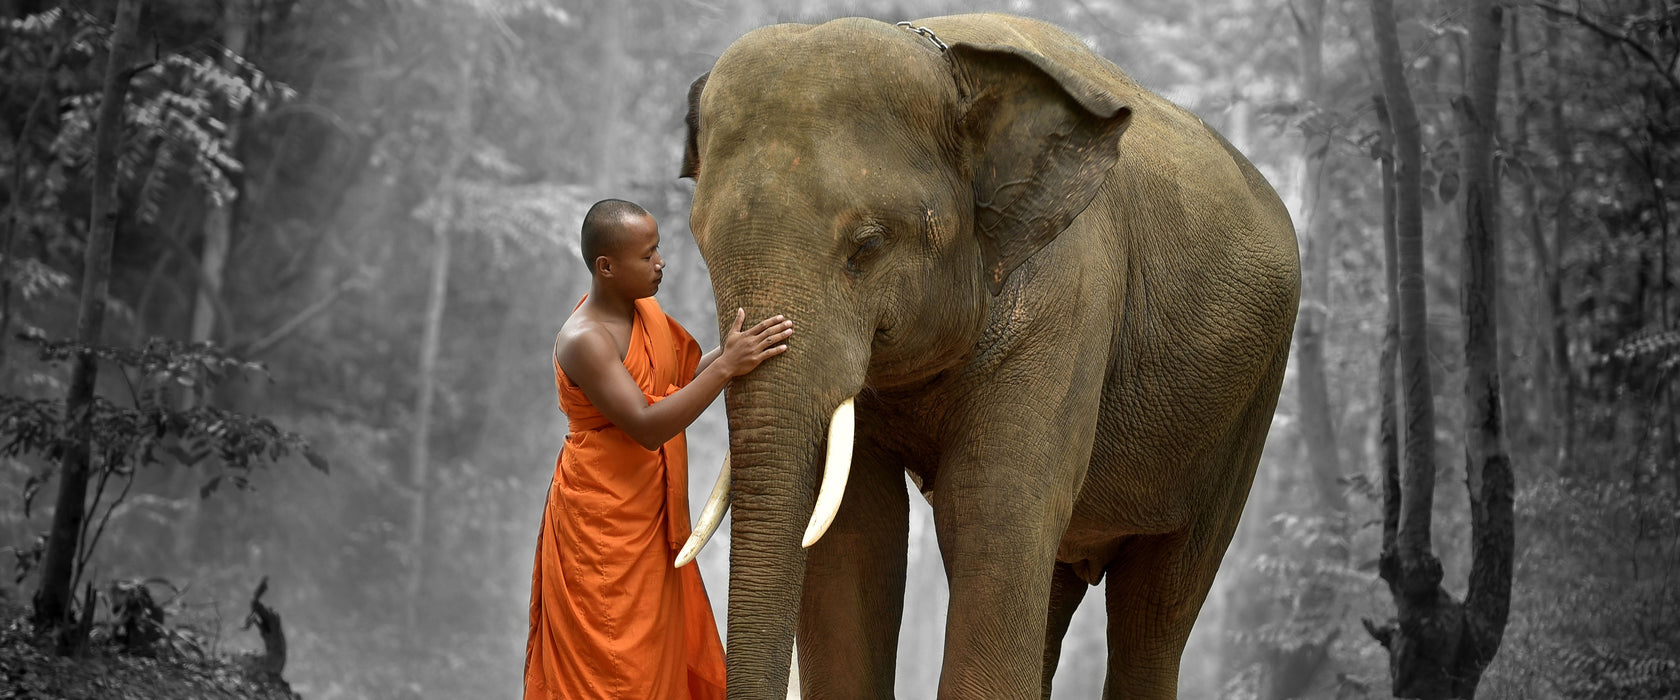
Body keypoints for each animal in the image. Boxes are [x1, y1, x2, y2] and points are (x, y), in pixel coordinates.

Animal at [668, 12, 1296, 698]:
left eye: (868, 246)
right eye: (701, 243)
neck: (949, 63)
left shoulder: (1068, 296)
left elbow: (993, 510)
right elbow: (855, 528)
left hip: (1246, 411)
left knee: (1159, 603)